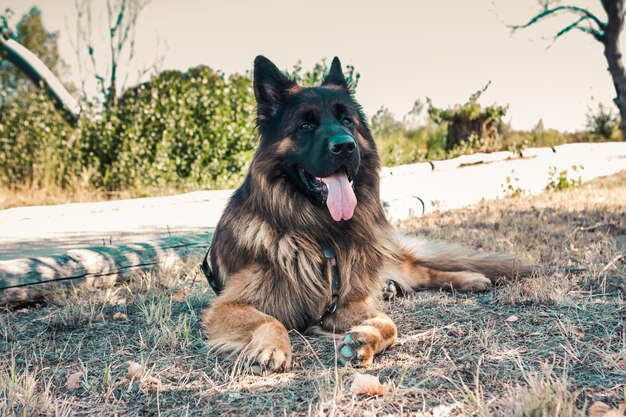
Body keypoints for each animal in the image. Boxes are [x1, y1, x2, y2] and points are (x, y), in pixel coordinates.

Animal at [201, 56, 532, 374]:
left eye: (347, 121)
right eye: (305, 126)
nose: (345, 146)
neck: (319, 234)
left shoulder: (344, 304)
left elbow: (389, 324)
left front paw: (363, 340)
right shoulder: (229, 304)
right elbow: (271, 320)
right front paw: (271, 348)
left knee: (423, 271)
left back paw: (469, 278)